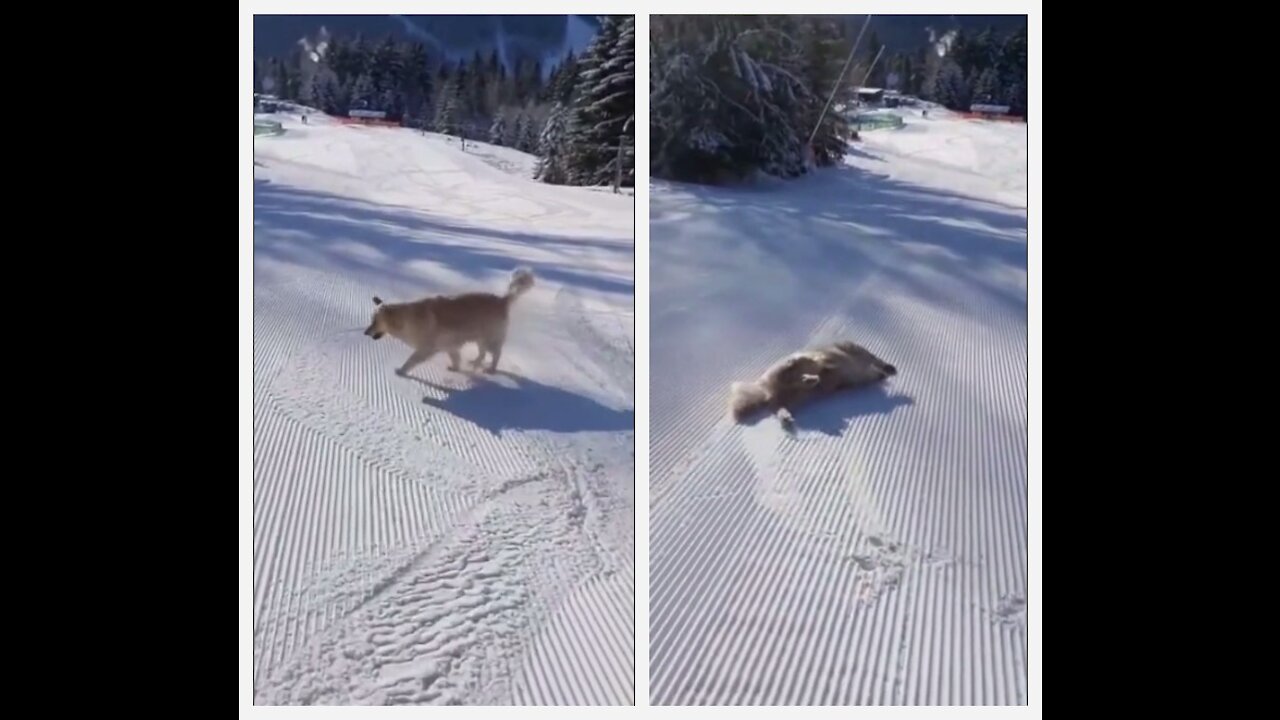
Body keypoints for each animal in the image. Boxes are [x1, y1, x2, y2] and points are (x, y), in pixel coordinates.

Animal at [366, 265, 535, 376]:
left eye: (375, 321)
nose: (365, 333)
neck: (405, 318)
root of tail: (502, 300)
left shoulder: (426, 348)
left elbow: (411, 360)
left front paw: (401, 370)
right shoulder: (450, 346)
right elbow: (456, 358)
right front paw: (456, 368)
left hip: (491, 338)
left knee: (496, 354)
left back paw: (491, 369)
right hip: (480, 338)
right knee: (482, 354)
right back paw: (474, 363)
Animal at [732, 338, 901, 425]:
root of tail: (766, 389)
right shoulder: (853, 352)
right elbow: (873, 360)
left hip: (796, 396)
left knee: (780, 403)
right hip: (784, 376)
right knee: (786, 373)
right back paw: (798, 364)